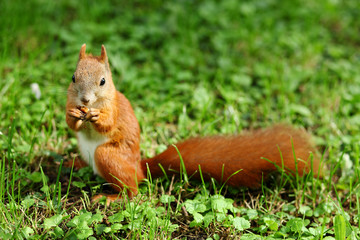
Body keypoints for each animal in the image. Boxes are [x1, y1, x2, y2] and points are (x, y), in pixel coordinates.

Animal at [67, 44, 320, 201]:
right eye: (73, 77)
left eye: (103, 81)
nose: (85, 100)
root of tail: (140, 168)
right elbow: (71, 124)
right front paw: (74, 114)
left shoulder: (115, 109)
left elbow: (109, 124)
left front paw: (97, 117)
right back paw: (76, 164)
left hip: (109, 156)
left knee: (133, 191)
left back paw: (112, 198)